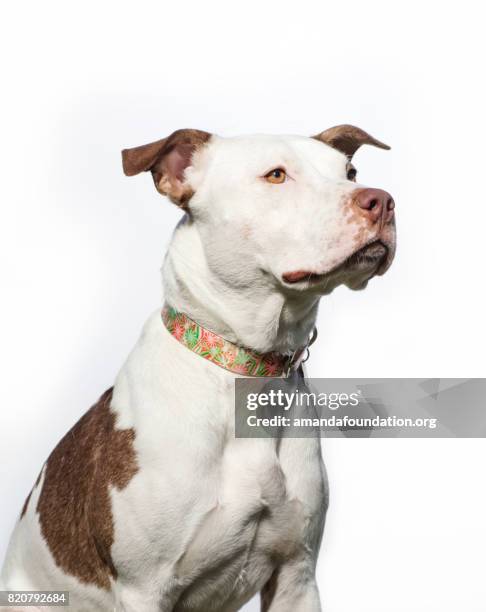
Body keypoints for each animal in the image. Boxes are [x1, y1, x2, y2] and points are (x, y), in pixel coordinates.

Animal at [1, 125, 394, 612]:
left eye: (351, 172)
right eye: (276, 175)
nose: (381, 200)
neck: (247, 373)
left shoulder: (297, 575)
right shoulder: (145, 589)